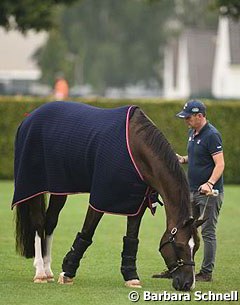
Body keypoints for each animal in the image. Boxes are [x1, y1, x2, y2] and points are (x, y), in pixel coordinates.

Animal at [12, 100, 201, 290]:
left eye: (197, 247)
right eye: (180, 246)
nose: (188, 284)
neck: (135, 148)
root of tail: (29, 117)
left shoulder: (136, 201)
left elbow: (131, 238)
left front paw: (131, 277)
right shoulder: (101, 196)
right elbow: (87, 232)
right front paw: (67, 273)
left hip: (60, 188)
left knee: (50, 222)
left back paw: (48, 270)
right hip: (34, 186)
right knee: (38, 223)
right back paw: (40, 273)